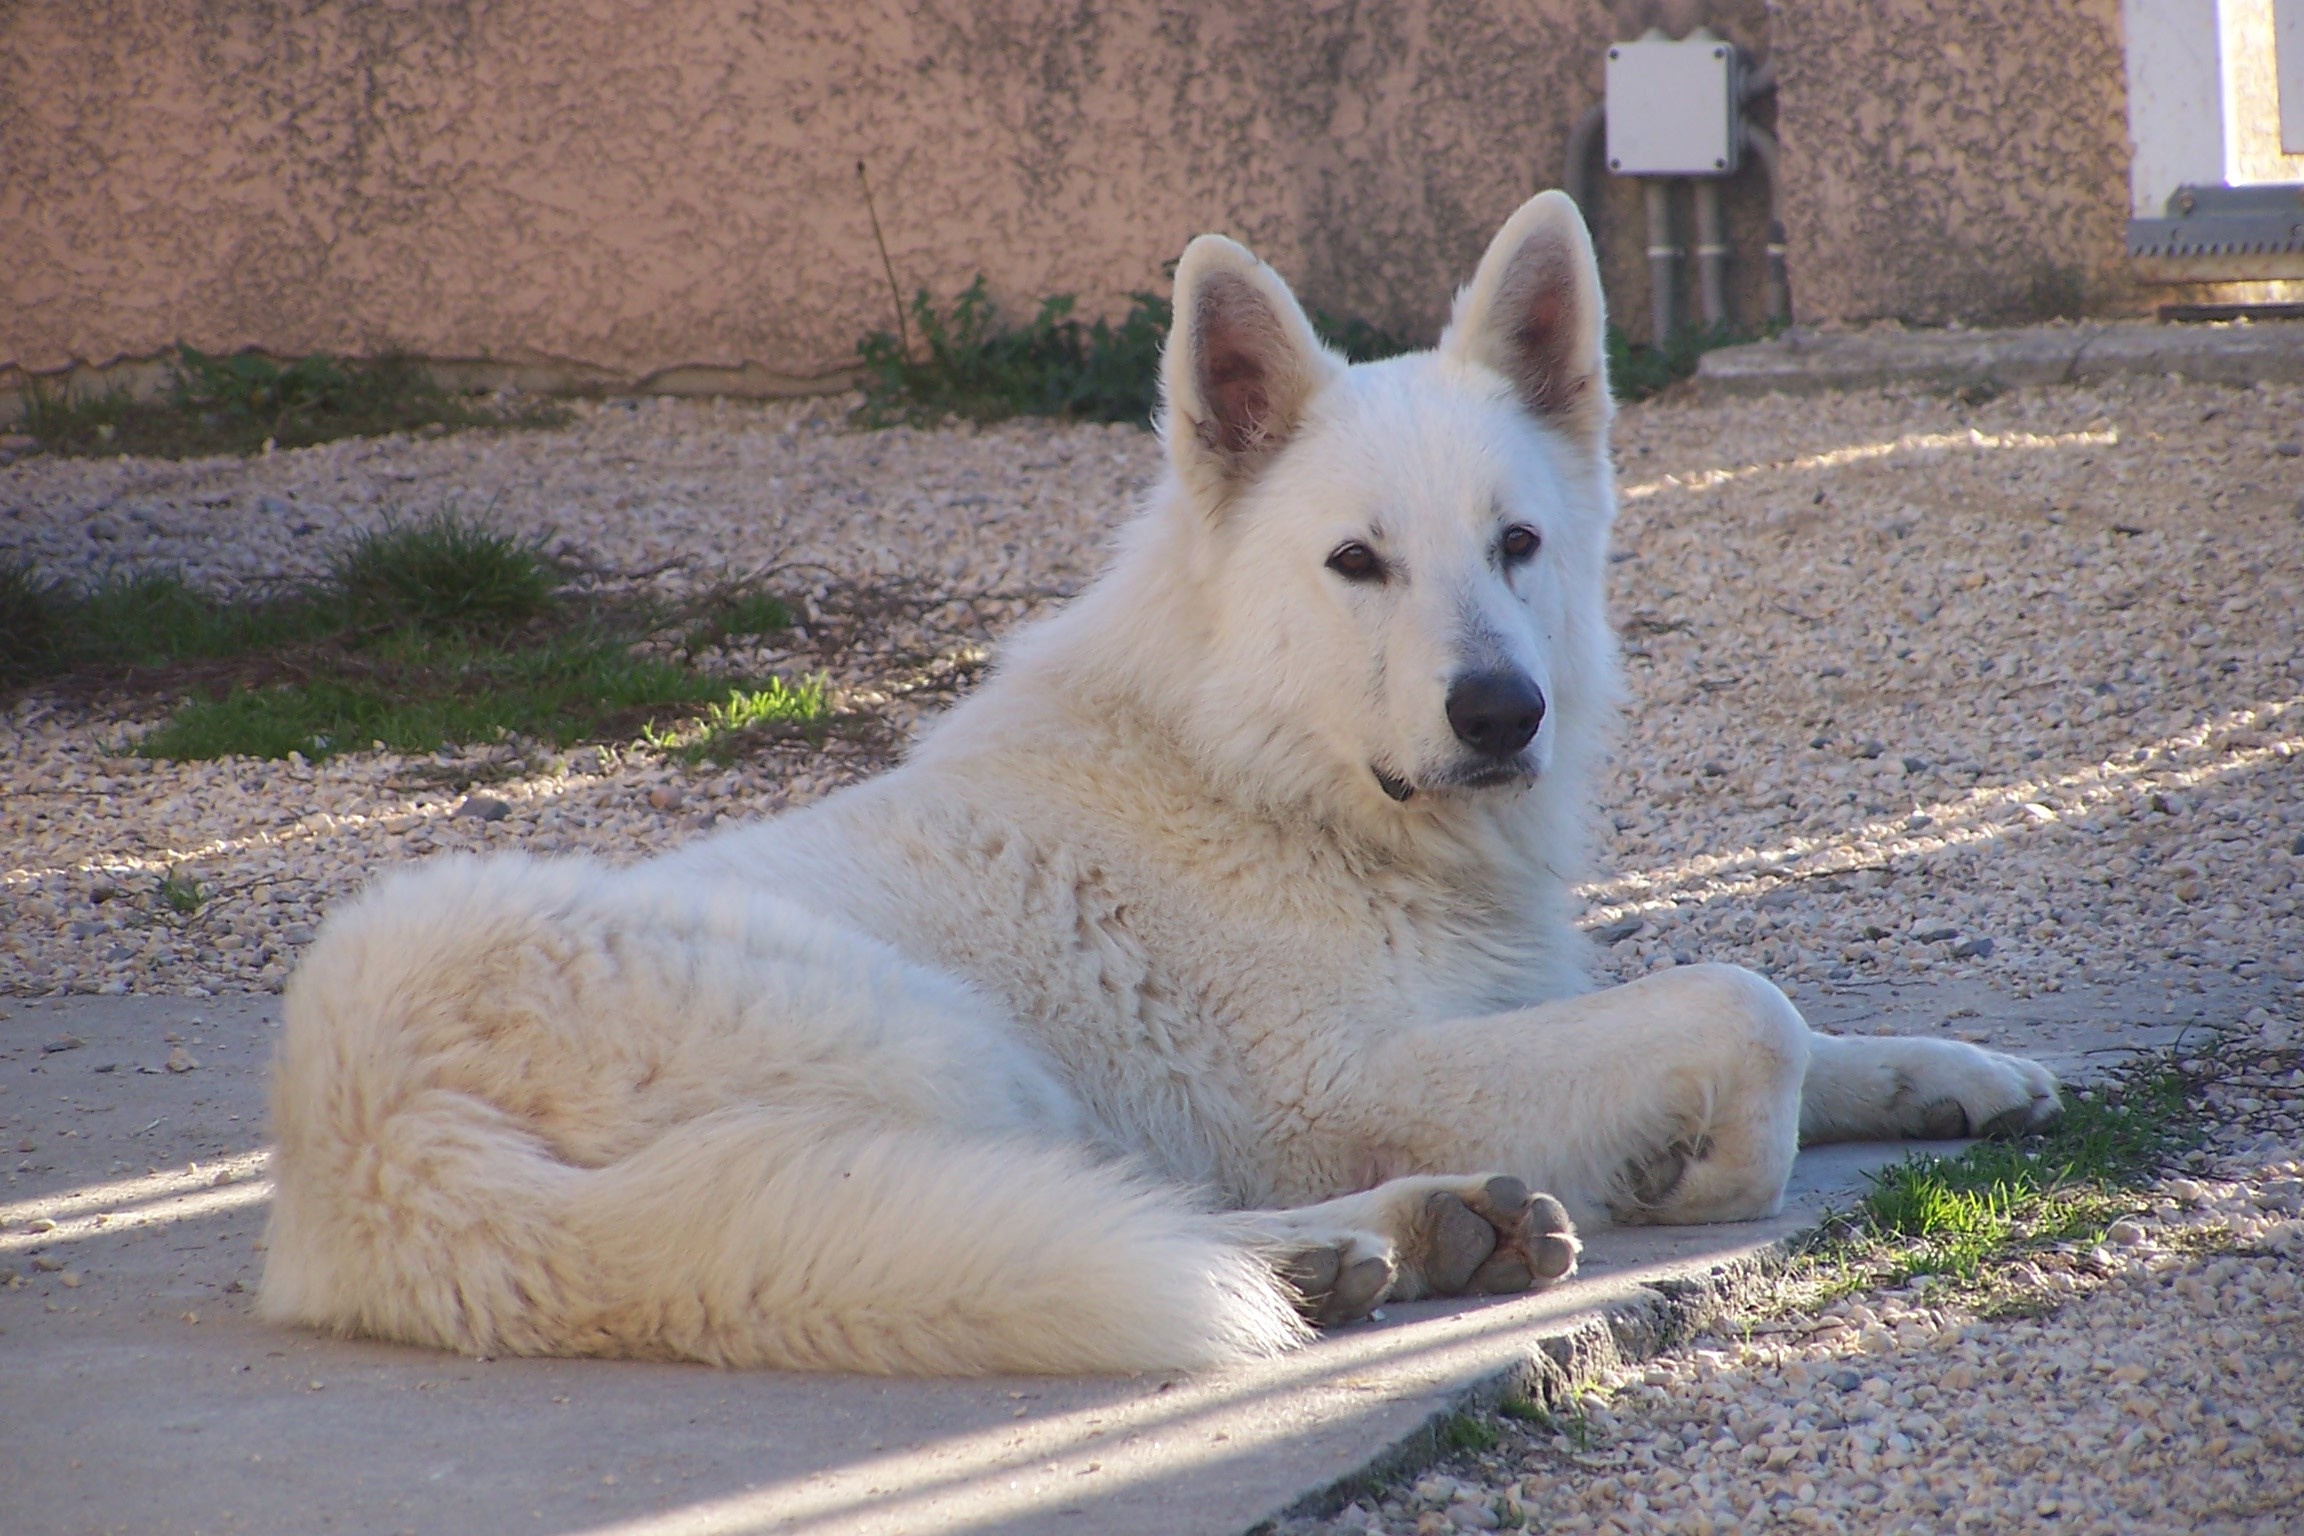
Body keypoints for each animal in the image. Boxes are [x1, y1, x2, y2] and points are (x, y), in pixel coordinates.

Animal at [261, 195, 2064, 1381]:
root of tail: (370, 1149)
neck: (1266, 772)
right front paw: (1704, 1169)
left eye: (1516, 544)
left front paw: (1955, 1075)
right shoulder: (1344, 1078)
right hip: (949, 1049)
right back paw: (1369, 1249)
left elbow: (1806, 1026)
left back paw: (1401, 1241)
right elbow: (1744, 1004)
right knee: (1100, 1216)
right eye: (1356, 562)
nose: (1500, 712)